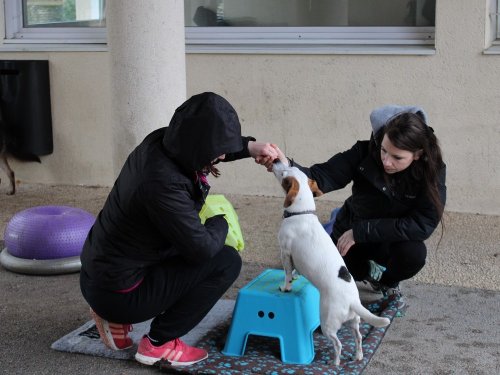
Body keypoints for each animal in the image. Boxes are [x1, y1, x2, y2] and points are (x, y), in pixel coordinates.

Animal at [274, 161, 390, 368]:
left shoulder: (285, 252)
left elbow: (287, 273)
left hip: (328, 323)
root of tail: (353, 301)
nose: (275, 161)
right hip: (354, 322)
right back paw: (358, 356)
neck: (301, 213)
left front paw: (286, 287)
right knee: (358, 337)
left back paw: (334, 362)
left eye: (283, 173)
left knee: (338, 344)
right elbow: (293, 271)